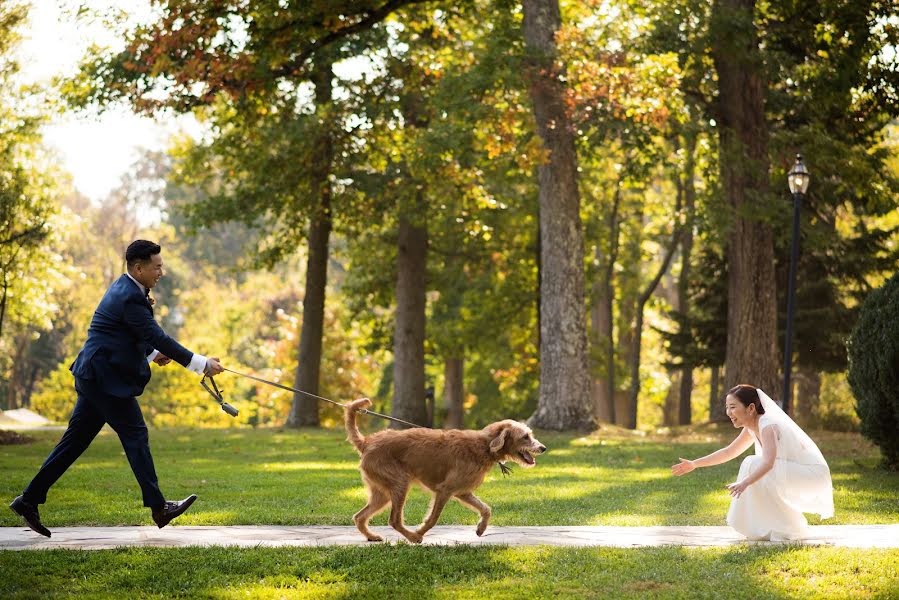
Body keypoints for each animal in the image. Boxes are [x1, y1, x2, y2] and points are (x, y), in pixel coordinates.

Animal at [344, 398, 544, 544]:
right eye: (525, 437)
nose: (543, 448)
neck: (484, 446)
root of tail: (367, 442)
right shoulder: (444, 490)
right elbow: (433, 519)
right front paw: (420, 532)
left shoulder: (463, 492)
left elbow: (486, 509)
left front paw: (481, 528)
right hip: (400, 484)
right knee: (393, 520)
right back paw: (412, 537)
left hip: (382, 493)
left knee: (359, 516)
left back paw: (371, 536)